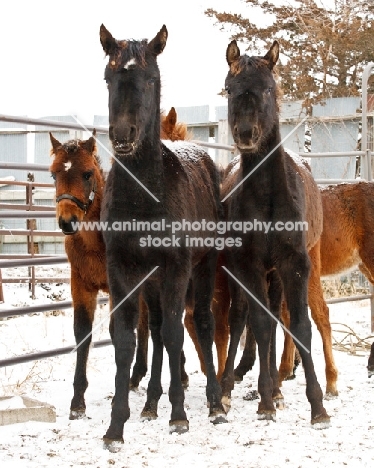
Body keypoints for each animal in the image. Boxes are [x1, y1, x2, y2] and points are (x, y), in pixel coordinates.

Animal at [99, 23, 226, 448]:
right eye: (108, 78)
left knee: (199, 322)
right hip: (152, 280)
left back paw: (215, 403)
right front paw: (115, 427)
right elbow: (126, 340)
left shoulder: (177, 267)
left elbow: (175, 333)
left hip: (203, 266)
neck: (144, 195)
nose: (123, 134)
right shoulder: (122, 269)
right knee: (153, 329)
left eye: (151, 79)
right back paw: (152, 401)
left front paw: (180, 414)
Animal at [219, 41, 330, 428]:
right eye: (230, 89)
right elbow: (259, 324)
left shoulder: (293, 264)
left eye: (268, 87)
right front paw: (265, 401)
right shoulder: (249, 264)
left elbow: (299, 326)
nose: (246, 133)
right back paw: (228, 390)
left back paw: (278, 389)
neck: (268, 197)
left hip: (277, 274)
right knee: (244, 319)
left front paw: (318, 406)